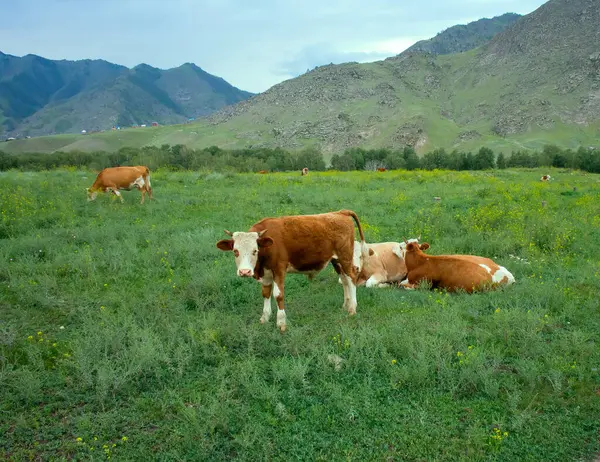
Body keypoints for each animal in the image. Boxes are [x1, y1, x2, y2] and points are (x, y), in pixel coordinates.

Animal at [213, 209, 368, 332]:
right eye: (235, 251)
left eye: (255, 251)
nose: (244, 272)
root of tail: (340, 212)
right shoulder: (266, 274)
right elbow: (265, 293)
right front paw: (265, 317)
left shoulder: (279, 269)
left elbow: (278, 295)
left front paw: (281, 322)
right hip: (336, 261)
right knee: (345, 280)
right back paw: (346, 305)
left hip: (345, 257)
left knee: (351, 278)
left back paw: (352, 308)